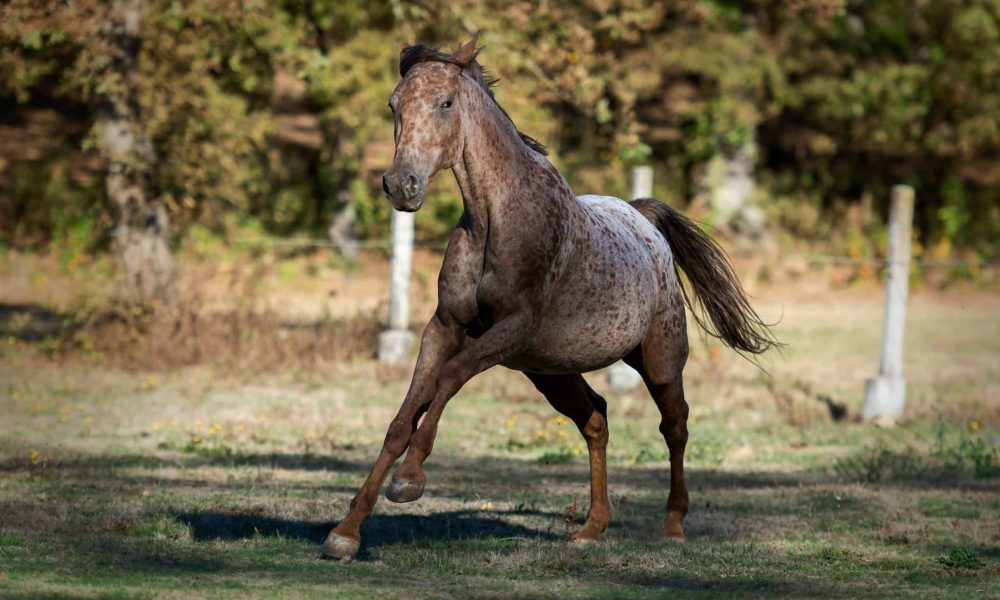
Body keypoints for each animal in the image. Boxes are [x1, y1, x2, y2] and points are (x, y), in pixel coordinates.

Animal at [324, 34, 776, 564]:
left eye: (446, 102)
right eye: (393, 104)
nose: (401, 185)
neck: (497, 219)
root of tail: (642, 218)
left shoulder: (511, 330)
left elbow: (449, 379)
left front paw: (409, 481)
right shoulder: (445, 326)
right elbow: (404, 415)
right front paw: (346, 532)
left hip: (660, 359)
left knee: (676, 425)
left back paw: (673, 525)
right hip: (551, 373)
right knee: (596, 418)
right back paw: (591, 527)